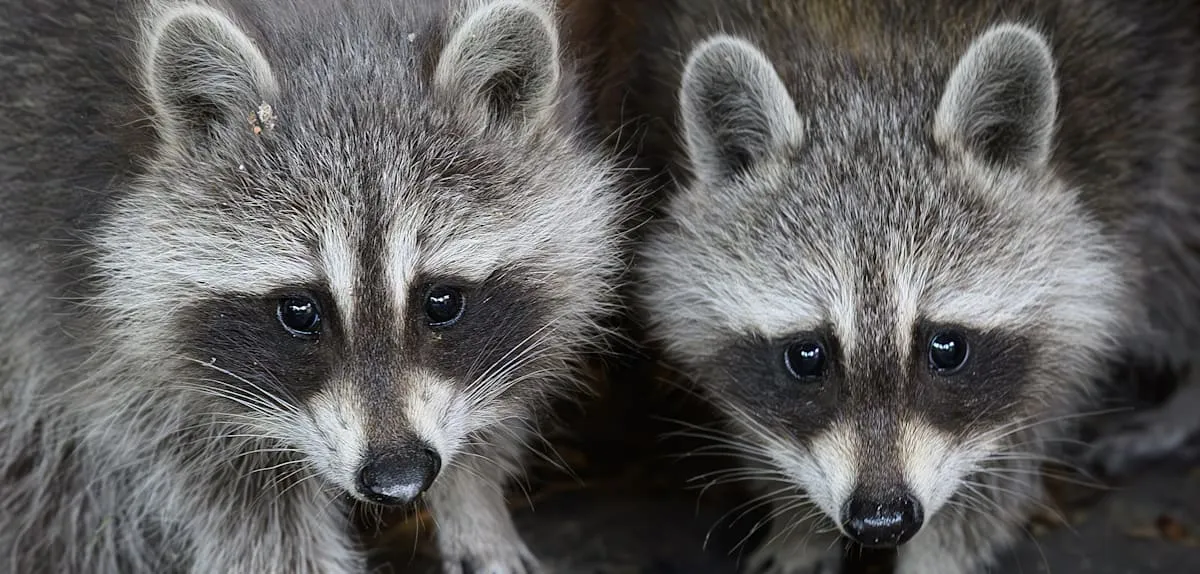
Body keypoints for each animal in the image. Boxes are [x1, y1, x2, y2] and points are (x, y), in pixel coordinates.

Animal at [0, 0, 627, 572]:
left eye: (442, 300)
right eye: (300, 311)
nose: (400, 479)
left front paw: (474, 500)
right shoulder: (83, 319)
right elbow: (237, 496)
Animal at [601, 0, 1200, 572]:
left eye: (948, 348)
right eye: (806, 356)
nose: (882, 520)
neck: (875, 72)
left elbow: (1007, 454)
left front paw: (937, 556)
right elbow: (764, 422)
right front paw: (798, 525)